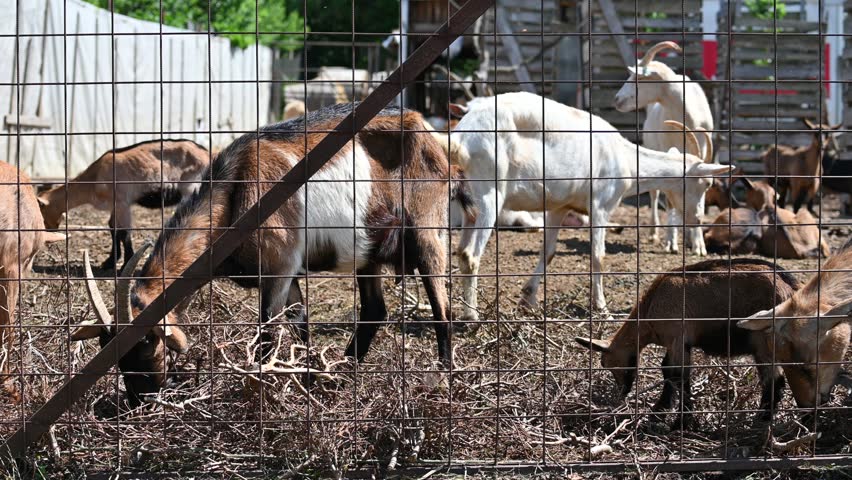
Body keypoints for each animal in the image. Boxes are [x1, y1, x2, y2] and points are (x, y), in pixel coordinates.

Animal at [37, 139, 211, 270]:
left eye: (42, 213)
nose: (49, 232)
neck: (95, 178)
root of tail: (208, 154)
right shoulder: (115, 205)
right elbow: (113, 228)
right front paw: (110, 262)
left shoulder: (123, 202)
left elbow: (124, 232)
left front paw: (125, 264)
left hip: (191, 188)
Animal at [71, 103, 474, 404]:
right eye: (107, 347)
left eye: (145, 341)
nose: (140, 401)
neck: (236, 191)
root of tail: (431, 137)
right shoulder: (290, 274)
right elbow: (301, 328)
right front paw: (308, 381)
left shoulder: (278, 270)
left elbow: (266, 337)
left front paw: (261, 394)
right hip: (369, 251)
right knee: (375, 310)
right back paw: (344, 374)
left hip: (427, 233)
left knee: (442, 310)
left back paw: (442, 381)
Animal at [447, 92, 732, 317]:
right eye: (707, 183)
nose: (697, 218)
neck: (624, 157)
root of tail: (461, 141)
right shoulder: (601, 206)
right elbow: (598, 256)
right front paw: (602, 308)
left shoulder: (559, 207)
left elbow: (548, 252)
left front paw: (528, 300)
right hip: (490, 193)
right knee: (470, 255)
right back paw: (472, 317)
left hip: (468, 205)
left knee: (459, 250)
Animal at [576, 258, 799, 426]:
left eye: (607, 364)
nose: (623, 391)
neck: (650, 309)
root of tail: (791, 290)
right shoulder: (676, 344)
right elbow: (666, 370)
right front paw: (660, 409)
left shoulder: (678, 339)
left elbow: (679, 377)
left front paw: (681, 422)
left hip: (763, 342)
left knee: (774, 380)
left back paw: (763, 419)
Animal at [613, 41, 714, 251]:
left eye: (639, 78)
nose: (617, 100)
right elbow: (669, 199)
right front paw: (671, 242)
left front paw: (698, 244)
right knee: (654, 193)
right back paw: (654, 233)